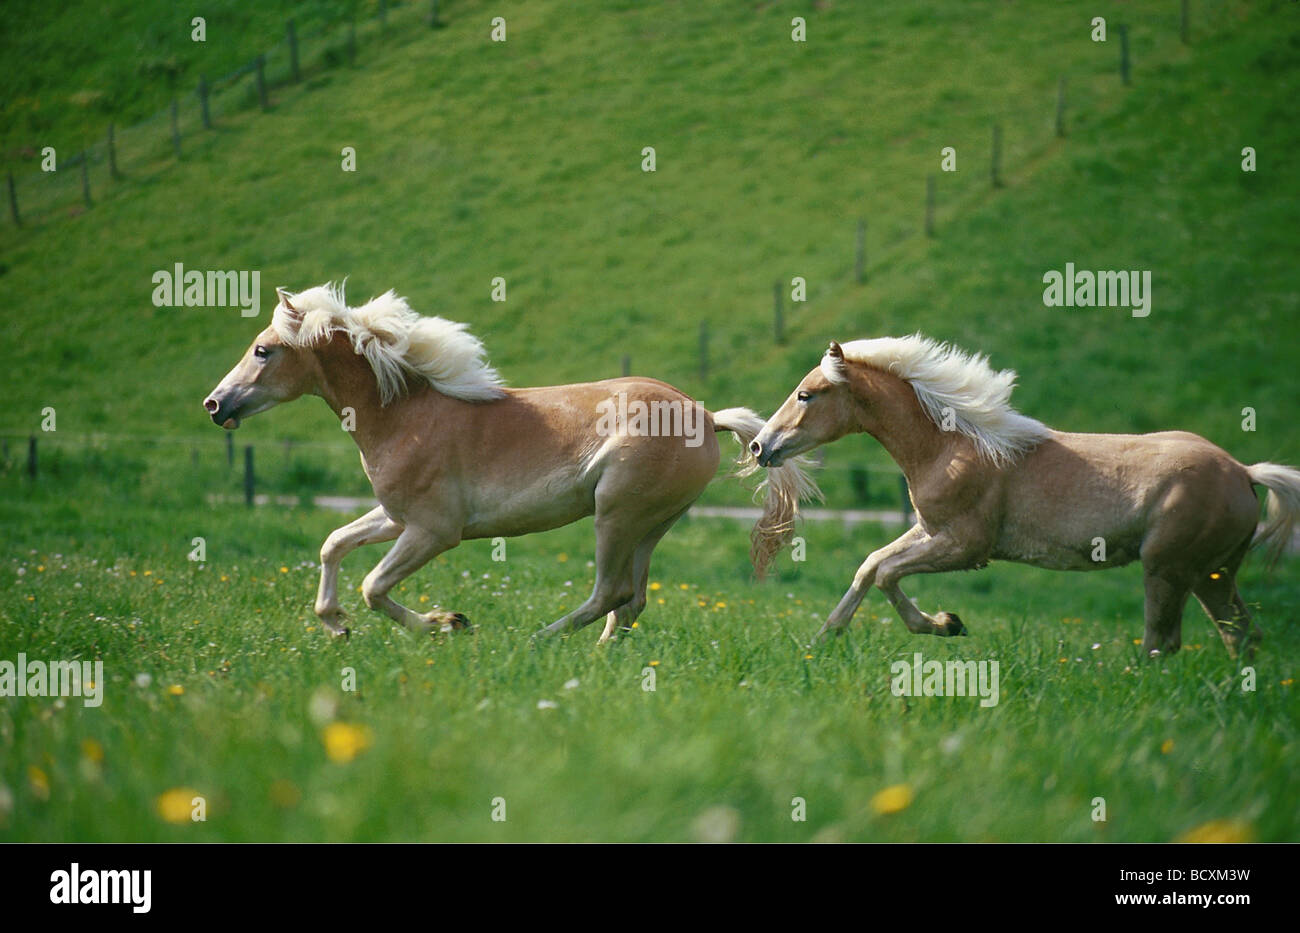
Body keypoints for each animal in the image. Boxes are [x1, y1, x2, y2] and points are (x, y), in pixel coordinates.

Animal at [202, 284, 818, 643]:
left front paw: (447, 624)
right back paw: (600, 660)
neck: (402, 412)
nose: (214, 404)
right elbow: (333, 544)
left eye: (263, 350)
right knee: (631, 600)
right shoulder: (397, 518)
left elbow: (374, 587)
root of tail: (708, 416)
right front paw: (336, 626)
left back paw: (539, 642)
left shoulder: (434, 531)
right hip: (651, 524)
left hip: (616, 515)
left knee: (610, 593)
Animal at [749, 335, 1300, 659]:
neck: (952, 447)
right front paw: (824, 639)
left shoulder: (966, 547)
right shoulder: (929, 529)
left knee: (1162, 643)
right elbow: (869, 565)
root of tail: (1244, 472)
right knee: (1240, 634)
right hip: (1212, 574)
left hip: (1168, 570)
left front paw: (948, 624)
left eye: (806, 394)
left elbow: (885, 572)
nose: (759, 447)